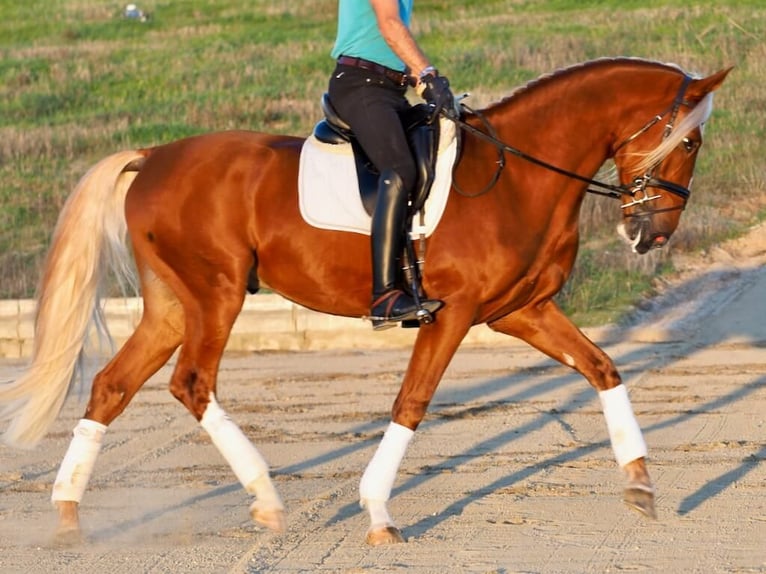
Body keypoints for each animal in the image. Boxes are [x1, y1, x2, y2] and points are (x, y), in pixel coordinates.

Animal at [0, 58, 732, 548]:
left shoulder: (521, 312)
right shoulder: (454, 313)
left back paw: (68, 514)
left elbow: (604, 368)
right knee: (191, 382)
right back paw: (266, 499)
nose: (653, 234)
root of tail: (152, 156)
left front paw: (640, 483)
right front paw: (378, 513)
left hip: (172, 306)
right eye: (691, 140)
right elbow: (412, 402)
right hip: (218, 294)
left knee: (111, 386)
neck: (519, 174)